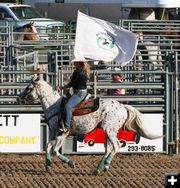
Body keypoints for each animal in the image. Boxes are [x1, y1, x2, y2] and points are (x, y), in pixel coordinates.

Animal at [17, 75, 162, 175]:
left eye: (28, 87)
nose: (18, 98)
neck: (55, 106)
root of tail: (122, 106)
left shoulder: (62, 134)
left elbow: (55, 150)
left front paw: (71, 163)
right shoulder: (54, 133)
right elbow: (48, 146)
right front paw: (48, 166)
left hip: (109, 130)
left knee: (116, 146)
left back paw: (104, 165)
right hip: (108, 131)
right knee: (109, 148)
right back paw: (99, 168)